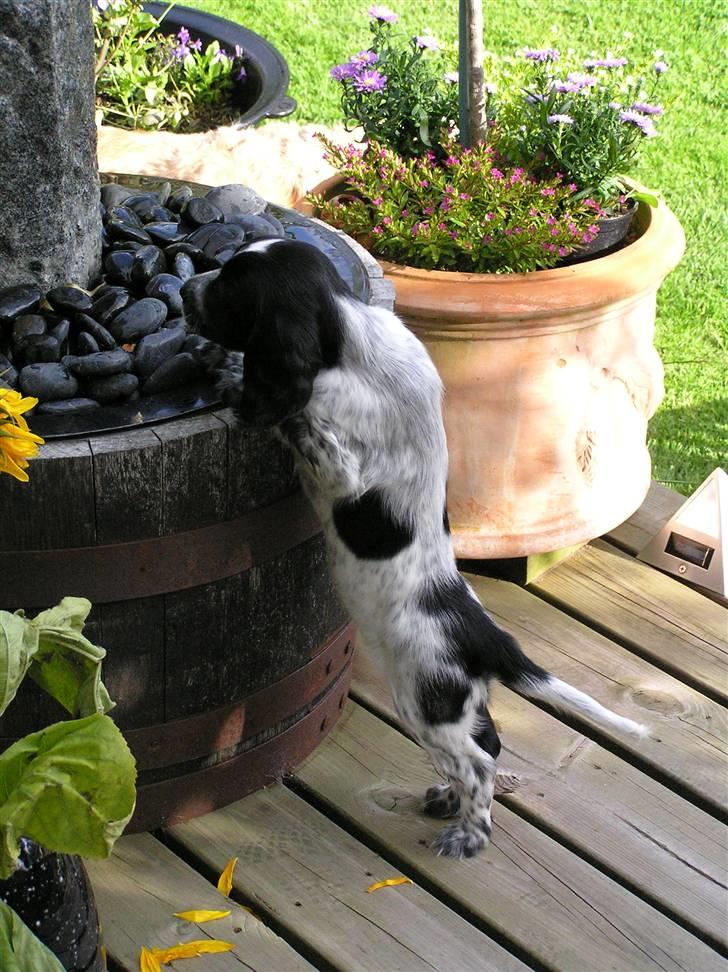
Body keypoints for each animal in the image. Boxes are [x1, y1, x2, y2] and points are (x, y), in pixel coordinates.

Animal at [179, 239, 644, 860]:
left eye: (231, 286)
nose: (186, 291)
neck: (349, 339)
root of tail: (484, 634)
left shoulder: (339, 466)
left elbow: (300, 415)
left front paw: (241, 382)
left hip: (425, 698)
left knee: (478, 764)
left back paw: (469, 833)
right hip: (457, 702)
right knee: (488, 742)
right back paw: (449, 801)